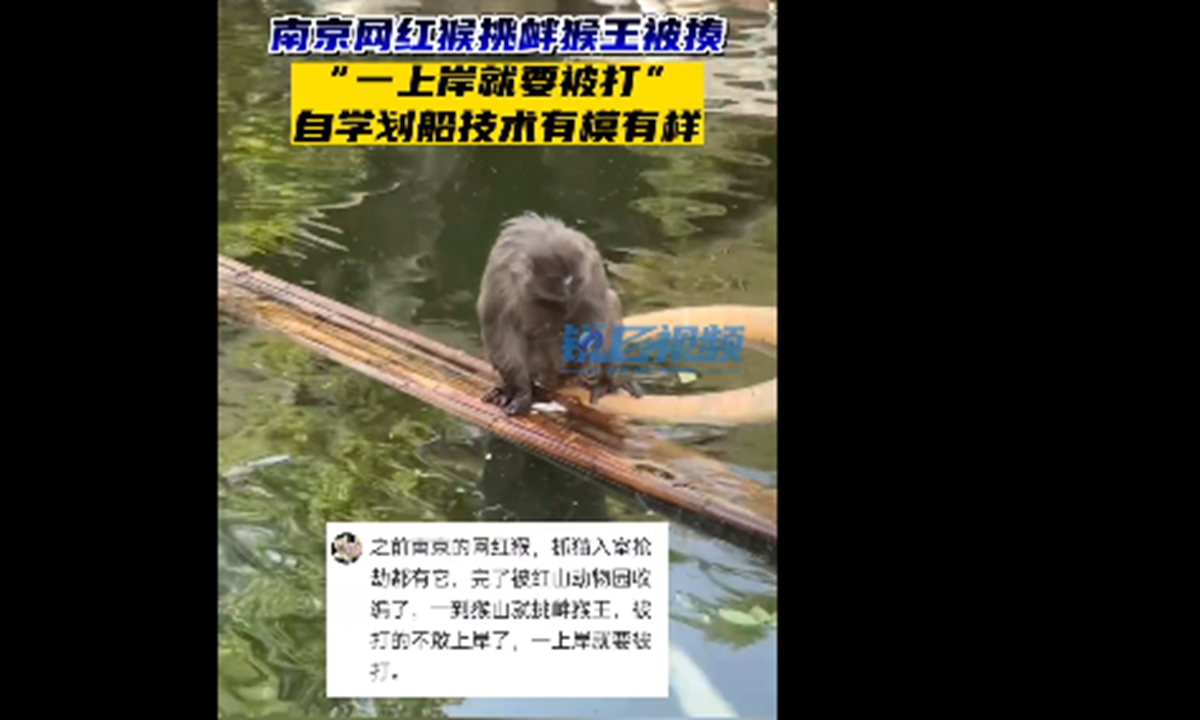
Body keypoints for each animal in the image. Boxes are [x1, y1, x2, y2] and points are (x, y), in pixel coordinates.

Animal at [477, 212, 644, 416]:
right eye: (552, 302)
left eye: (564, 302)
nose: (564, 307)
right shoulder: (500, 271)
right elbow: (500, 328)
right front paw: (521, 390)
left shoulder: (590, 262)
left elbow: (597, 307)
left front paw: (592, 360)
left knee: (611, 302)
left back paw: (606, 382)